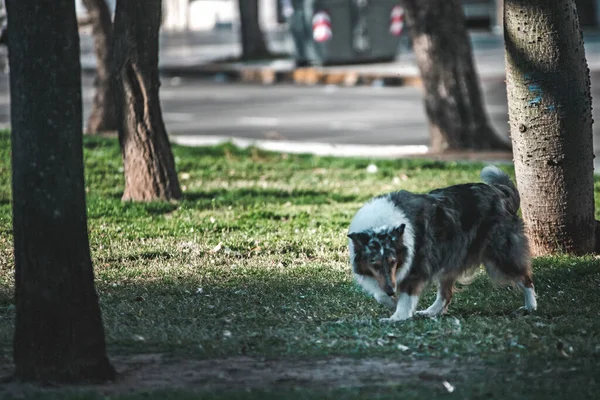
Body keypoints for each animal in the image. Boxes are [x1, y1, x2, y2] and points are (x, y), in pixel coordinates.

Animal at [346, 166, 540, 322]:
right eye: (375, 264)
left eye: (393, 261)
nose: (391, 291)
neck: (381, 224)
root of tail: (499, 192)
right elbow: (380, 293)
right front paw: (392, 302)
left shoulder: (417, 265)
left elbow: (406, 296)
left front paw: (397, 316)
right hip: (449, 258)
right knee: (446, 295)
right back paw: (430, 312)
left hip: (500, 254)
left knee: (526, 278)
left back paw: (530, 306)